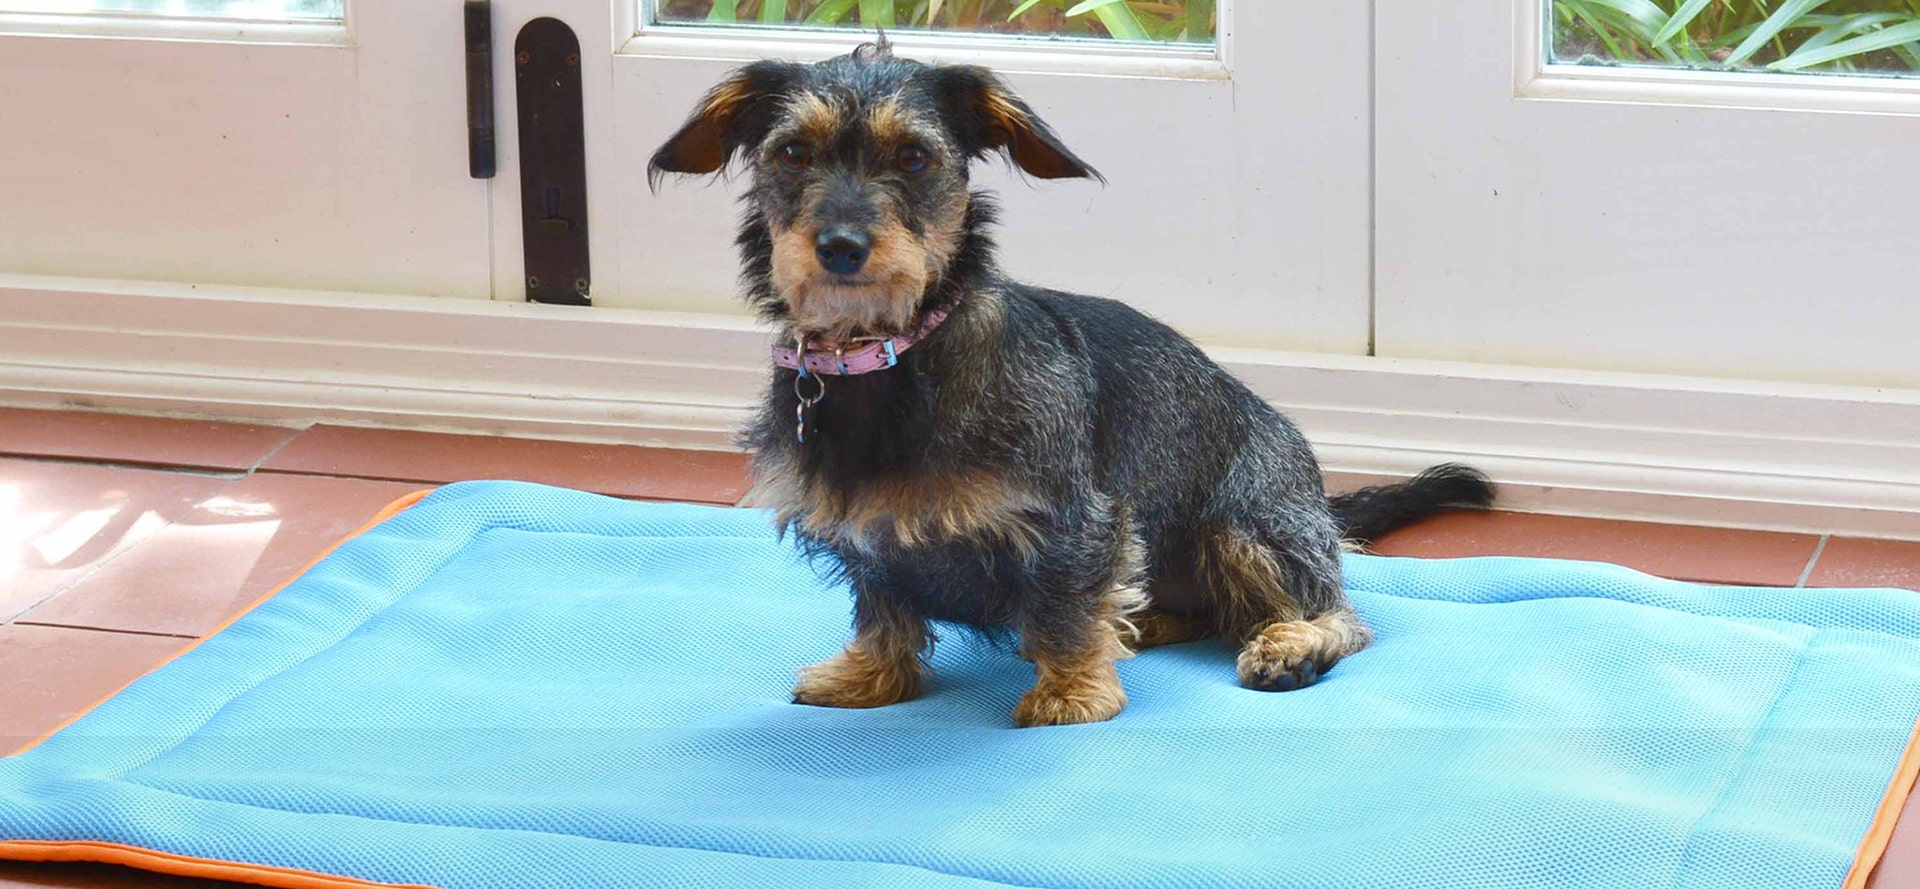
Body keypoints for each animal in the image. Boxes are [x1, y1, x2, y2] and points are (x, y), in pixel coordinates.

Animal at [652, 38, 1489, 725]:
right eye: (793, 152)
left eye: (915, 157)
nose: (841, 246)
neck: (891, 358)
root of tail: (1315, 494)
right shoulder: (866, 537)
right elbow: (883, 609)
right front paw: (868, 676)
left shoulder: (1077, 521)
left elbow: (1063, 607)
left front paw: (1072, 691)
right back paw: (1146, 621)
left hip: (1244, 526)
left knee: (1342, 614)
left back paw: (1287, 643)